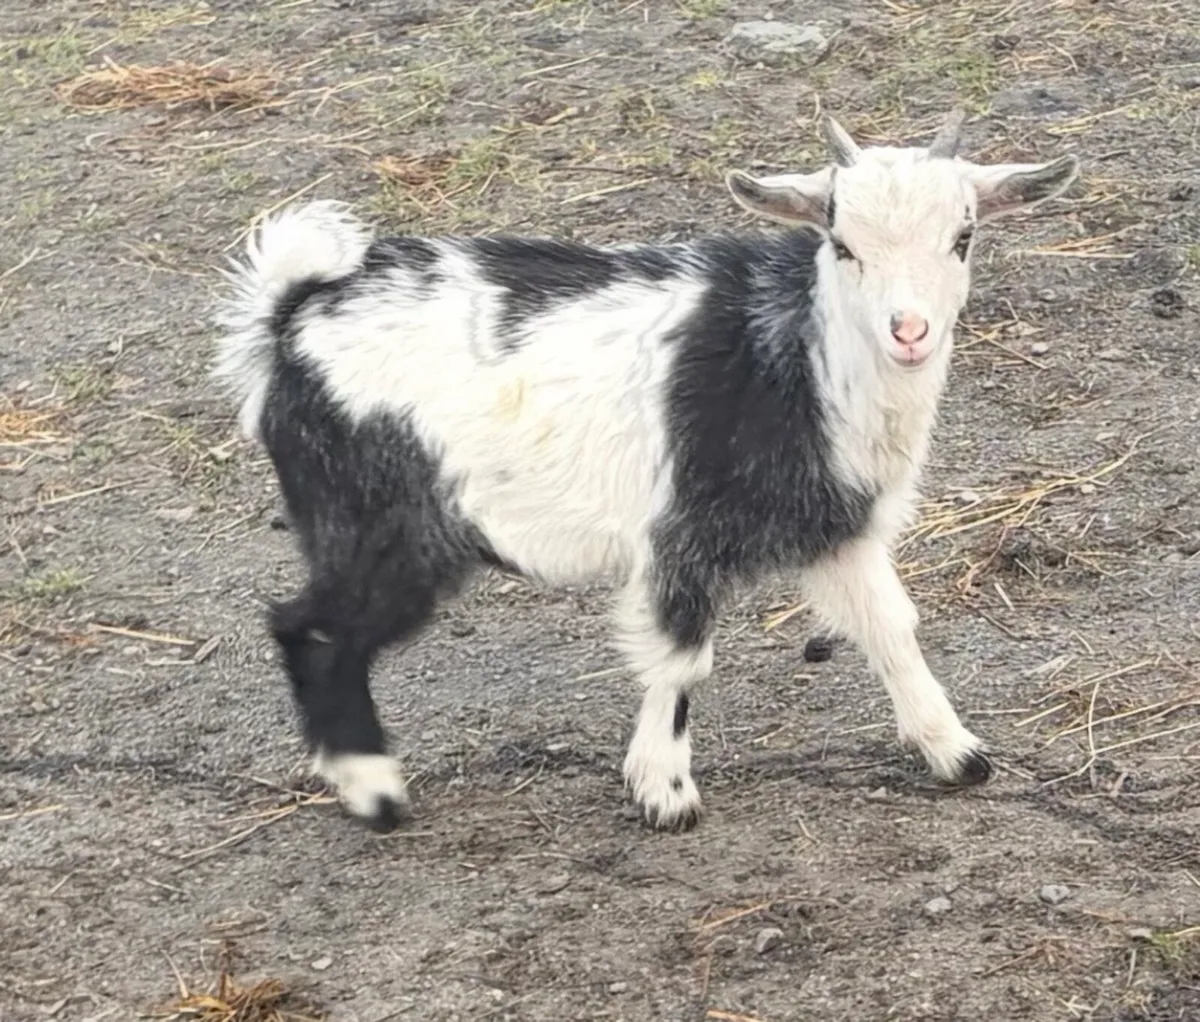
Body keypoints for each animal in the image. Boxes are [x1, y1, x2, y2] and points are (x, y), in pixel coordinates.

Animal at [215, 110, 1078, 832]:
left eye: (963, 236)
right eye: (841, 244)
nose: (909, 332)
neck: (798, 360)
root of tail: (289, 319)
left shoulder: (836, 530)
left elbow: (890, 628)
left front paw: (956, 753)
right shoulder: (681, 535)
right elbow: (682, 656)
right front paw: (664, 792)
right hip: (383, 523)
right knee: (309, 626)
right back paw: (374, 790)